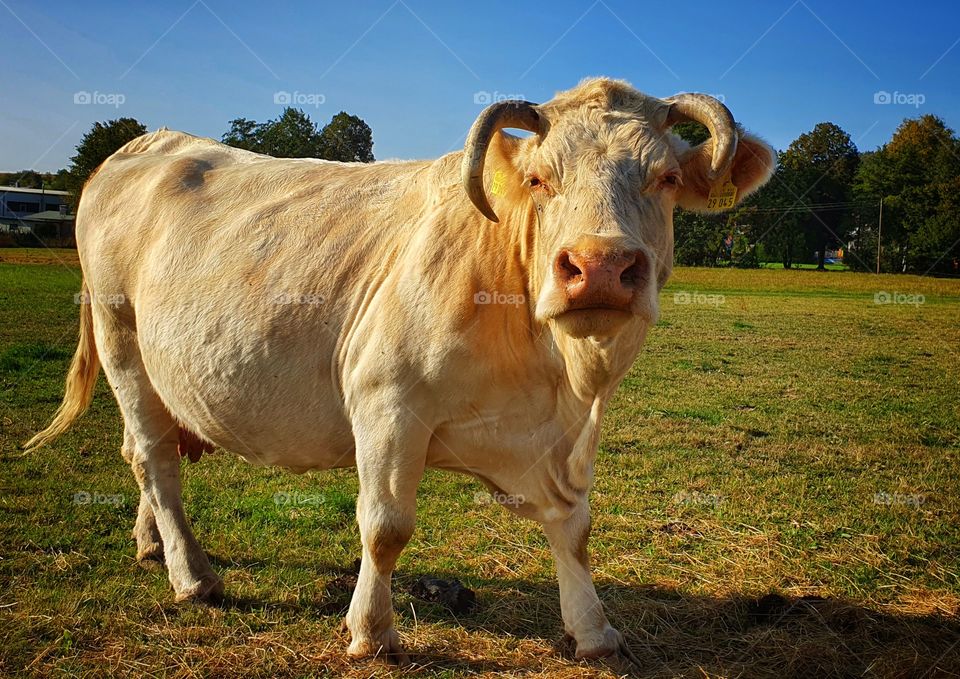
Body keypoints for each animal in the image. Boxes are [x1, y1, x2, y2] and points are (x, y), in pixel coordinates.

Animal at [26, 78, 775, 664]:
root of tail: (145, 143)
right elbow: (385, 528)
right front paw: (371, 632)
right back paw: (191, 574)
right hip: (122, 341)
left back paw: (151, 543)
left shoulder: (562, 438)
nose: (599, 266)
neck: (556, 376)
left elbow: (574, 528)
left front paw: (592, 629)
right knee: (155, 458)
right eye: (539, 179)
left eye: (666, 178)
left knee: (142, 455)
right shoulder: (387, 403)